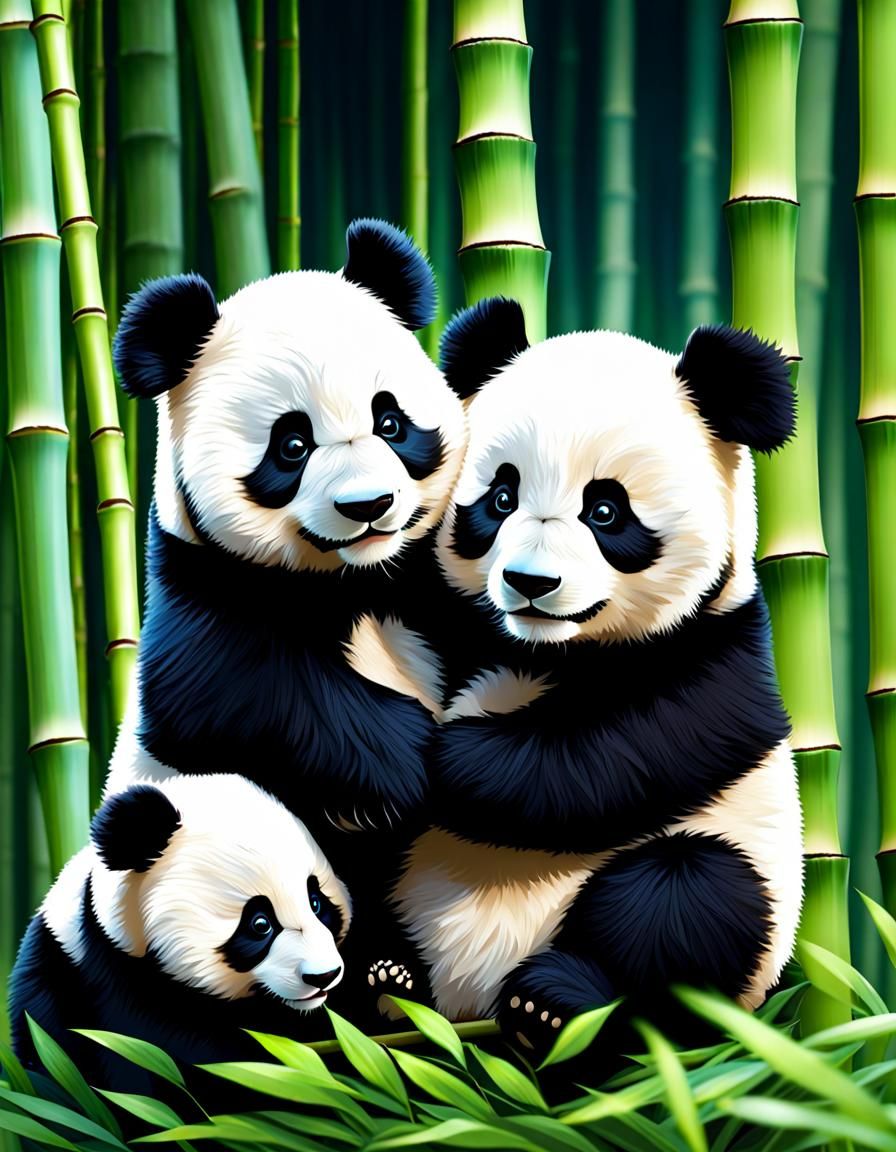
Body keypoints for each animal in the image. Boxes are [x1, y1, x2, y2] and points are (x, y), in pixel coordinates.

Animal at [104, 218, 464, 865]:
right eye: (292, 445)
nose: (369, 506)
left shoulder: (426, 574)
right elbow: (240, 694)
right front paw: (400, 772)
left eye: (390, 423)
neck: (353, 582)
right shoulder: (202, 584)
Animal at [373, 297, 803, 1060]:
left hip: (741, 884)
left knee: (687, 898)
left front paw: (446, 764)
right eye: (501, 497)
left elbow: (606, 757)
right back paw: (389, 978)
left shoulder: (717, 656)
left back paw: (552, 1004)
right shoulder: (441, 612)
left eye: (605, 510)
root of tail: (465, 998)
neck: (547, 651)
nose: (530, 583)